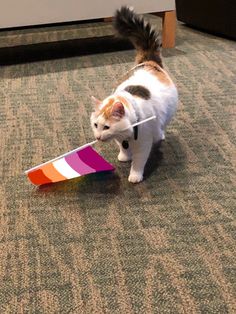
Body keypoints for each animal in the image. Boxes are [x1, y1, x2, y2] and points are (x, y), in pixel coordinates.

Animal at [90, 6, 177, 184]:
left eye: (106, 127)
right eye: (95, 125)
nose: (98, 137)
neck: (127, 134)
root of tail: (149, 62)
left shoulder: (143, 144)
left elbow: (138, 161)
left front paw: (135, 176)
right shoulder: (119, 139)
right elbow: (123, 149)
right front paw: (124, 156)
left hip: (167, 114)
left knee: (162, 126)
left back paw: (161, 135)